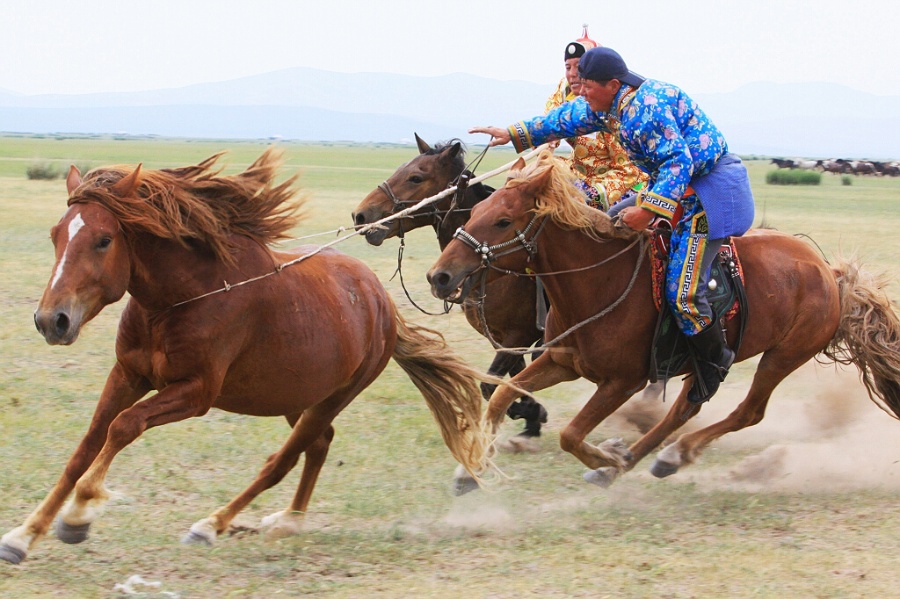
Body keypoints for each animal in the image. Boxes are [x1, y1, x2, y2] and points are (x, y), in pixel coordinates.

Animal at [0, 148, 488, 564]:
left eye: (103, 240)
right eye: (55, 235)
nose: (51, 320)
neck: (183, 297)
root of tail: (380, 300)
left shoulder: (195, 393)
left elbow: (123, 426)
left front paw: (78, 515)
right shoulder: (127, 375)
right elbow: (86, 447)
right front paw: (24, 535)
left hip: (335, 395)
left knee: (284, 460)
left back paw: (212, 525)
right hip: (296, 395)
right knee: (318, 445)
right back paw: (289, 521)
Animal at [352, 135, 548, 436]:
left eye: (416, 177)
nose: (361, 216)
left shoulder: (520, 334)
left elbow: (492, 386)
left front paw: (531, 413)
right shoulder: (503, 337)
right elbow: (512, 382)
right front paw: (533, 419)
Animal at [424, 150, 900, 492]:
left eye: (503, 220)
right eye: (474, 212)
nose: (439, 276)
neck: (600, 281)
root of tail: (828, 272)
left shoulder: (623, 381)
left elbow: (571, 434)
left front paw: (606, 456)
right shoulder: (561, 360)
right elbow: (503, 395)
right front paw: (470, 470)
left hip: (782, 356)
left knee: (746, 411)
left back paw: (653, 457)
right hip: (707, 365)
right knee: (685, 408)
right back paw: (646, 457)